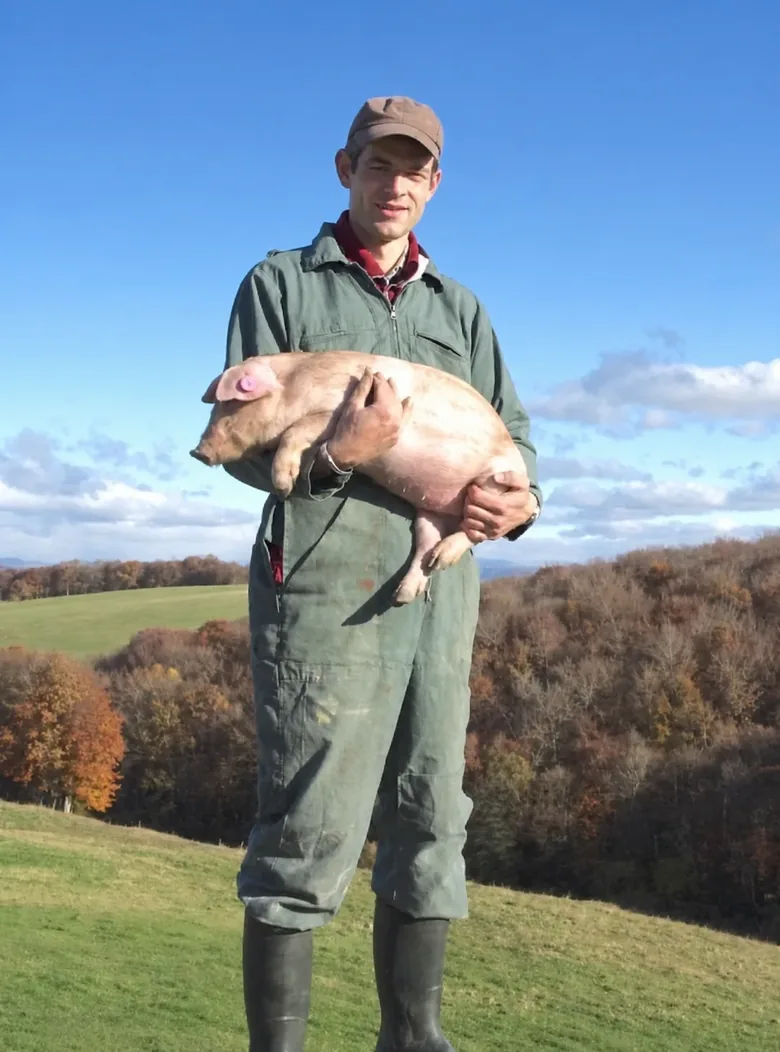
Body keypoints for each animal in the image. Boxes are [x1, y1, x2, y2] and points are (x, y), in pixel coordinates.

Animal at [190, 351, 529, 605]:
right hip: (430, 512)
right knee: (425, 545)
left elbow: (296, 431)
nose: (197, 452)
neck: (295, 386)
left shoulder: (331, 413)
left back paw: (441, 559)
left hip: (494, 486)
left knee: (477, 531)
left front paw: (283, 484)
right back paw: (404, 593)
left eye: (229, 405)